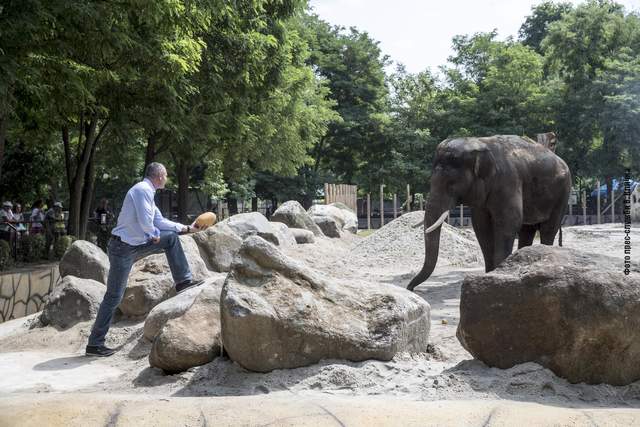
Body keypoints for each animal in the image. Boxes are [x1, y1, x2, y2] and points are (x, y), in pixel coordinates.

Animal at [407, 135, 571, 291]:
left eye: (451, 184)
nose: (410, 288)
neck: (478, 142)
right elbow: (482, 227)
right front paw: (490, 276)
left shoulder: (508, 181)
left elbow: (508, 222)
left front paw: (499, 278)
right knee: (527, 230)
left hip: (562, 193)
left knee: (548, 229)